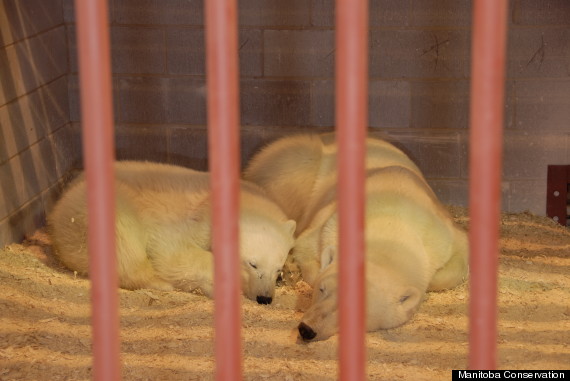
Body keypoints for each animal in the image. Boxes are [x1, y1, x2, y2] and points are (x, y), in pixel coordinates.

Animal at [242, 133, 468, 338]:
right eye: (322, 290)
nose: (307, 329)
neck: (390, 221)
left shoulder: (440, 234)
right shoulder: (329, 222)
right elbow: (305, 247)